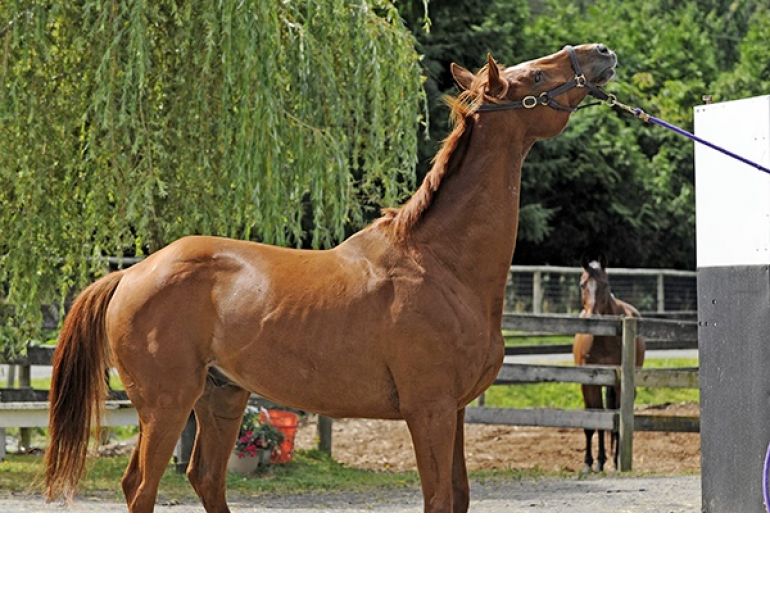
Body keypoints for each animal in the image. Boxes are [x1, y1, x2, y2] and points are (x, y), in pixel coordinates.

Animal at [45, 43, 618, 512]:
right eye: (536, 77)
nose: (601, 53)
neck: (441, 263)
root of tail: (130, 274)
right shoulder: (429, 411)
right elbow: (437, 501)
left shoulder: (453, 413)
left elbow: (458, 499)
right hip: (165, 407)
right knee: (141, 489)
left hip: (222, 397)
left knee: (205, 479)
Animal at [572, 256, 645, 473]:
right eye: (582, 284)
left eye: (605, 284)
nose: (594, 317)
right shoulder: (588, 382)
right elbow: (592, 422)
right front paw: (590, 463)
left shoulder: (619, 382)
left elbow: (615, 419)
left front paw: (612, 460)